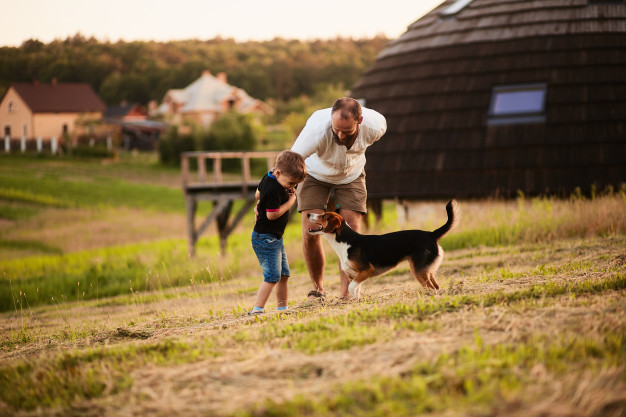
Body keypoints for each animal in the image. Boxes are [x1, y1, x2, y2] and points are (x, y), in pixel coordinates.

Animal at [308, 200, 458, 298]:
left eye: (323, 216)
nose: (308, 214)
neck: (345, 243)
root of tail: (431, 234)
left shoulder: (367, 270)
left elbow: (351, 287)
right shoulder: (354, 275)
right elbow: (355, 290)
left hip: (418, 271)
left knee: (432, 288)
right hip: (426, 270)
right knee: (436, 287)